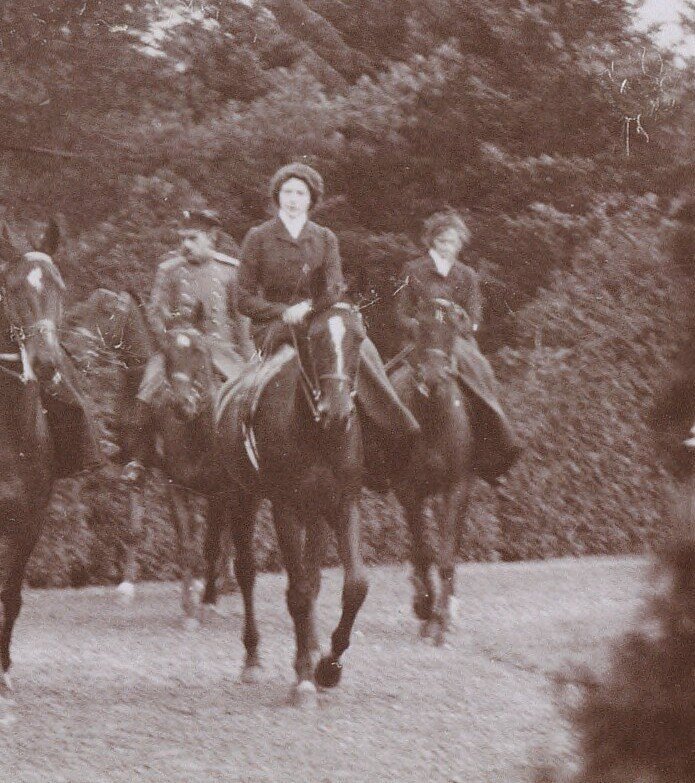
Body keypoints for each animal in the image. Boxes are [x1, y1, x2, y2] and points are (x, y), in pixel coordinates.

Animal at [207, 298, 370, 704]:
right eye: (314, 339)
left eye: (359, 338)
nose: (337, 412)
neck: (316, 431)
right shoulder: (286, 509)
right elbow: (297, 592)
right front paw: (304, 678)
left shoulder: (341, 503)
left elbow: (354, 585)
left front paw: (328, 665)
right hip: (241, 496)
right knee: (246, 572)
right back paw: (252, 658)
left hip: (315, 512)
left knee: (312, 578)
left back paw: (311, 648)